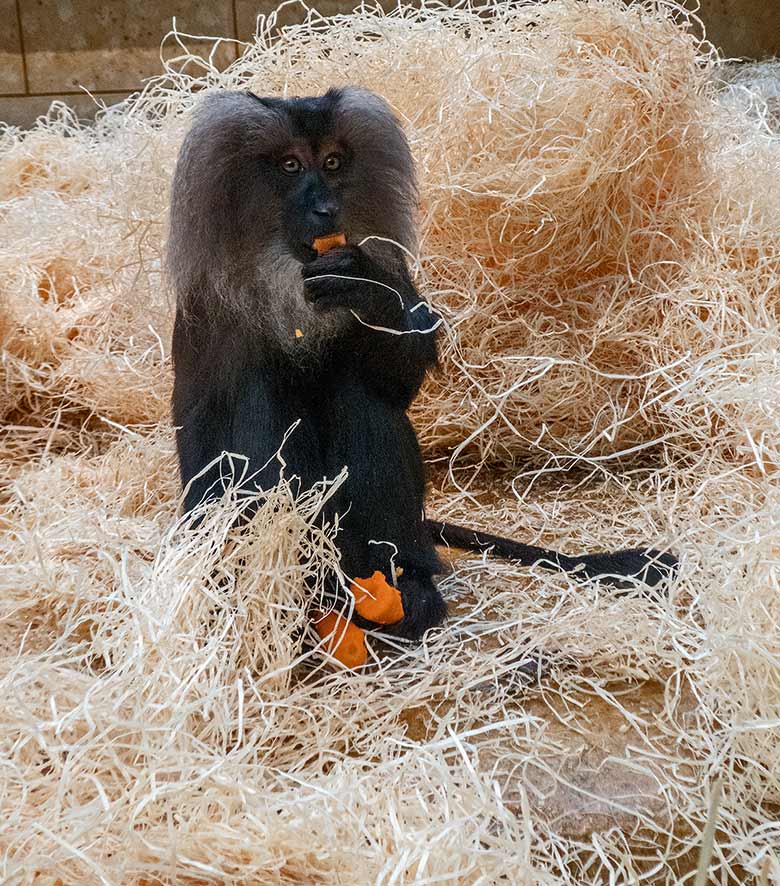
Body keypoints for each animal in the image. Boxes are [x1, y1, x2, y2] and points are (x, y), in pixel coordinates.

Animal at [166, 88, 676, 644]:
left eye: (333, 162)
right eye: (290, 165)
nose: (327, 208)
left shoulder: (389, 271)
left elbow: (395, 384)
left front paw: (364, 289)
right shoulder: (206, 307)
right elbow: (204, 424)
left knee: (359, 396)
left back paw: (405, 588)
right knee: (262, 396)